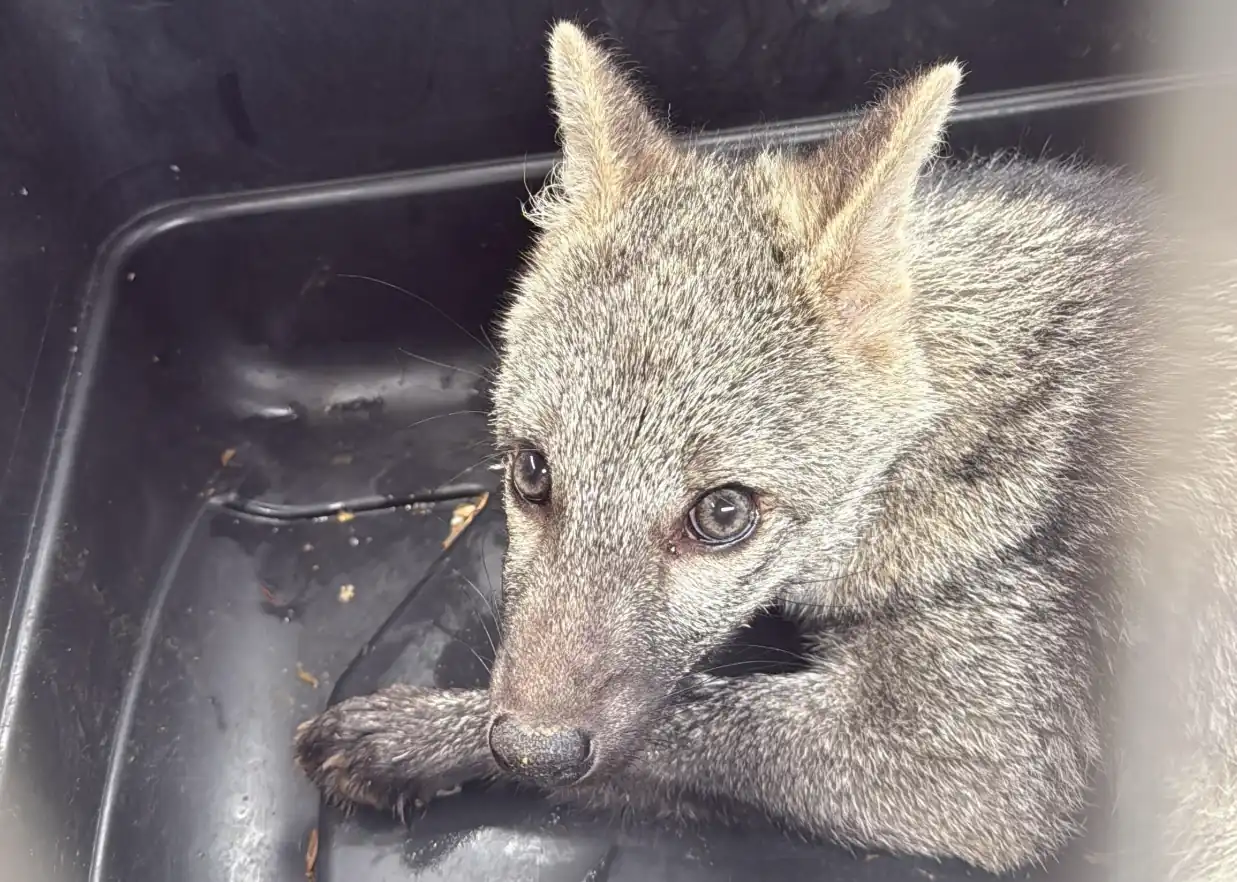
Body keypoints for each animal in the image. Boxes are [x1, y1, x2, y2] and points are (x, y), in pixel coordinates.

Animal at [294, 20, 1237, 880]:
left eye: (722, 514)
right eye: (532, 473)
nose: (531, 752)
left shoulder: (986, 767)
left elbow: (691, 720)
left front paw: (415, 734)